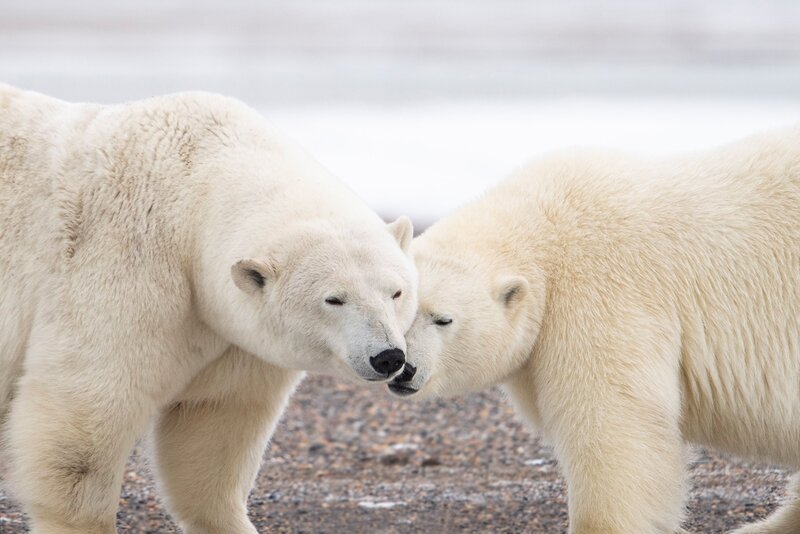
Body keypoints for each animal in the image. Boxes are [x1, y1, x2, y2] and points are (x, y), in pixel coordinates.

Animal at [0, 85, 418, 534]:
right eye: (334, 299)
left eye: (396, 292)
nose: (387, 356)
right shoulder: (124, 262)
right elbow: (88, 406)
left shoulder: (231, 335)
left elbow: (213, 426)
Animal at [388, 128, 800, 533]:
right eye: (397, 308)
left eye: (442, 319)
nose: (403, 368)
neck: (547, 227)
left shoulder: (600, 296)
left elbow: (610, 422)